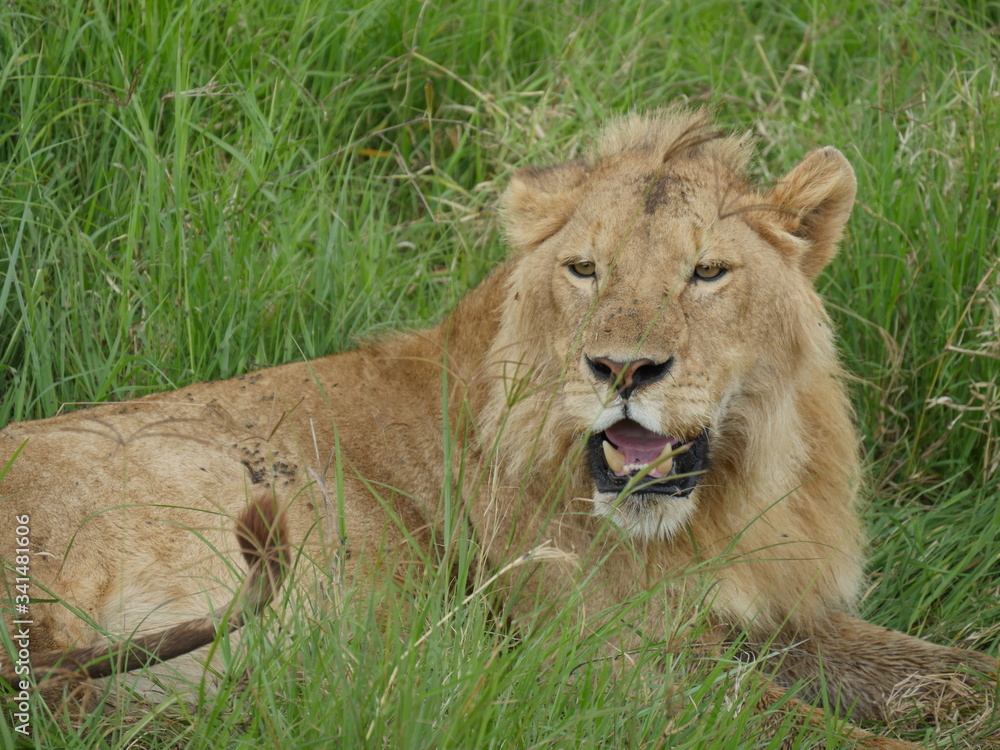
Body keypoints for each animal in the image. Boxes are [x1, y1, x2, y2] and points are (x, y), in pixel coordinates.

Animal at [1, 108, 992, 748]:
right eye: (585, 269)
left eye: (707, 272)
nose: (622, 369)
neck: (722, 501)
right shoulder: (603, 663)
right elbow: (802, 728)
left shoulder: (779, 618)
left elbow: (953, 672)